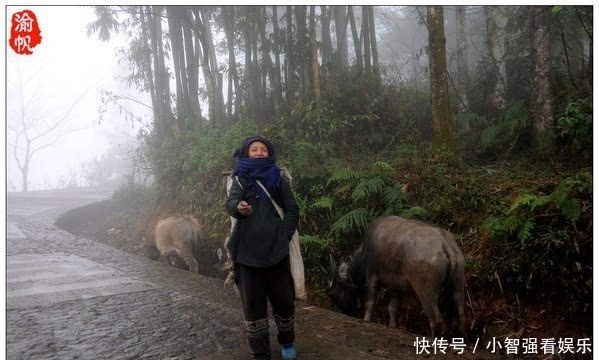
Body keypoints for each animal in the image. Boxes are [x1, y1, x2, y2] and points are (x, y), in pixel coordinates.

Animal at [328, 217, 468, 338]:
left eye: (334, 295)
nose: (336, 311)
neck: (364, 253)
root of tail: (445, 244)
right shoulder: (397, 287)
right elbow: (392, 307)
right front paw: (393, 325)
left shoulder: (372, 277)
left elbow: (370, 302)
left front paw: (366, 319)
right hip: (458, 283)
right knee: (461, 315)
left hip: (427, 291)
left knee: (436, 318)